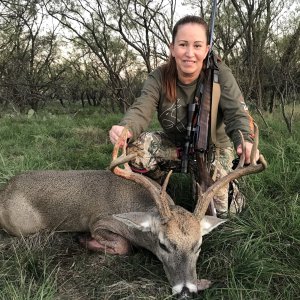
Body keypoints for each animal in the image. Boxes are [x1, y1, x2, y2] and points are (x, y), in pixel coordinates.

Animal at [0, 123, 268, 298]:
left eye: (198, 245)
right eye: (163, 244)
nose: (185, 291)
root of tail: (5, 191)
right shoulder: (100, 222)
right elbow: (123, 246)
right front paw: (83, 239)